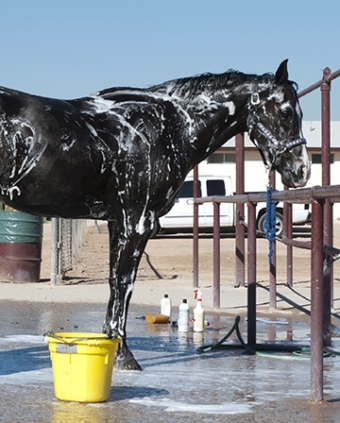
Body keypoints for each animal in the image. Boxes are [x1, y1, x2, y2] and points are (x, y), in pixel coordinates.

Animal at [0, 60, 310, 372]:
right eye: (286, 112)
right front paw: (124, 355)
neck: (166, 127)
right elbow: (123, 285)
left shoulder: (119, 223)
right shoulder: (136, 224)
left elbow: (115, 284)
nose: (303, 171)